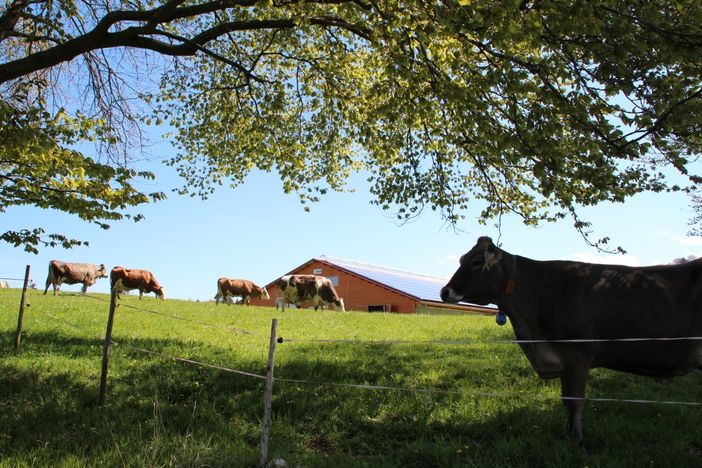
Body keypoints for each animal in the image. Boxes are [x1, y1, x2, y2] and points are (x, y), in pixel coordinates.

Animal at [442, 236, 702, 444]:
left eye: (476, 261)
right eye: (462, 259)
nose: (445, 291)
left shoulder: (577, 356)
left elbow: (575, 402)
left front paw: (577, 441)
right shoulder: (564, 361)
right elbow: (566, 401)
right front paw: (569, 437)